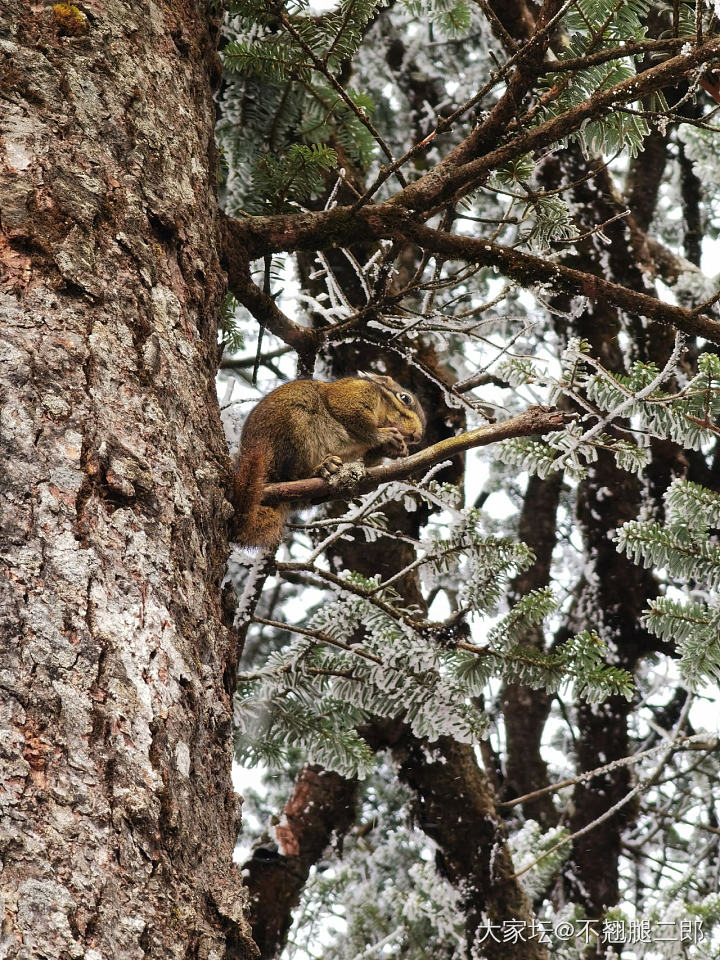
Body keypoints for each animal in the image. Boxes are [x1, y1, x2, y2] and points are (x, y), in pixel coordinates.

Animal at [231, 372, 424, 548]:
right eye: (405, 398)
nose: (417, 436)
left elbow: (368, 462)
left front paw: (395, 449)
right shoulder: (353, 395)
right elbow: (358, 421)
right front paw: (385, 436)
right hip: (294, 431)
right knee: (292, 474)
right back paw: (322, 468)